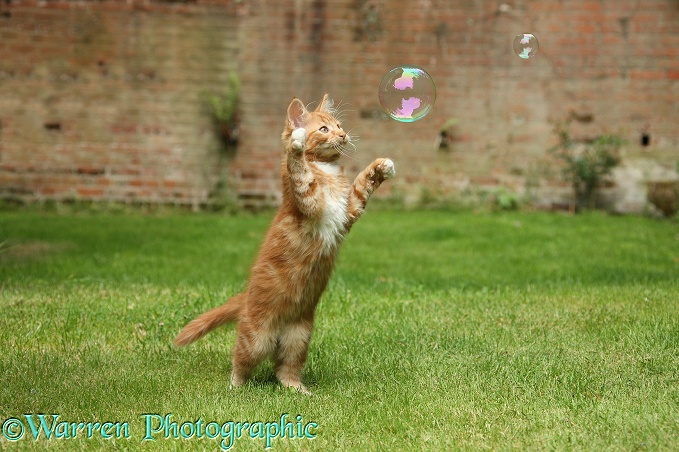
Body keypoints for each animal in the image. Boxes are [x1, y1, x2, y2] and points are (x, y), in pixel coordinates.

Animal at [175, 95, 396, 396]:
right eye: (324, 129)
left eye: (339, 125)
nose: (343, 135)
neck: (325, 170)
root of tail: (245, 298)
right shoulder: (308, 202)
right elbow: (299, 171)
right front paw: (297, 144)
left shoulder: (348, 210)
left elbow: (362, 186)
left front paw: (381, 167)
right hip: (257, 336)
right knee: (241, 360)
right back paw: (235, 387)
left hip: (299, 337)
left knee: (285, 369)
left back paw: (298, 389)